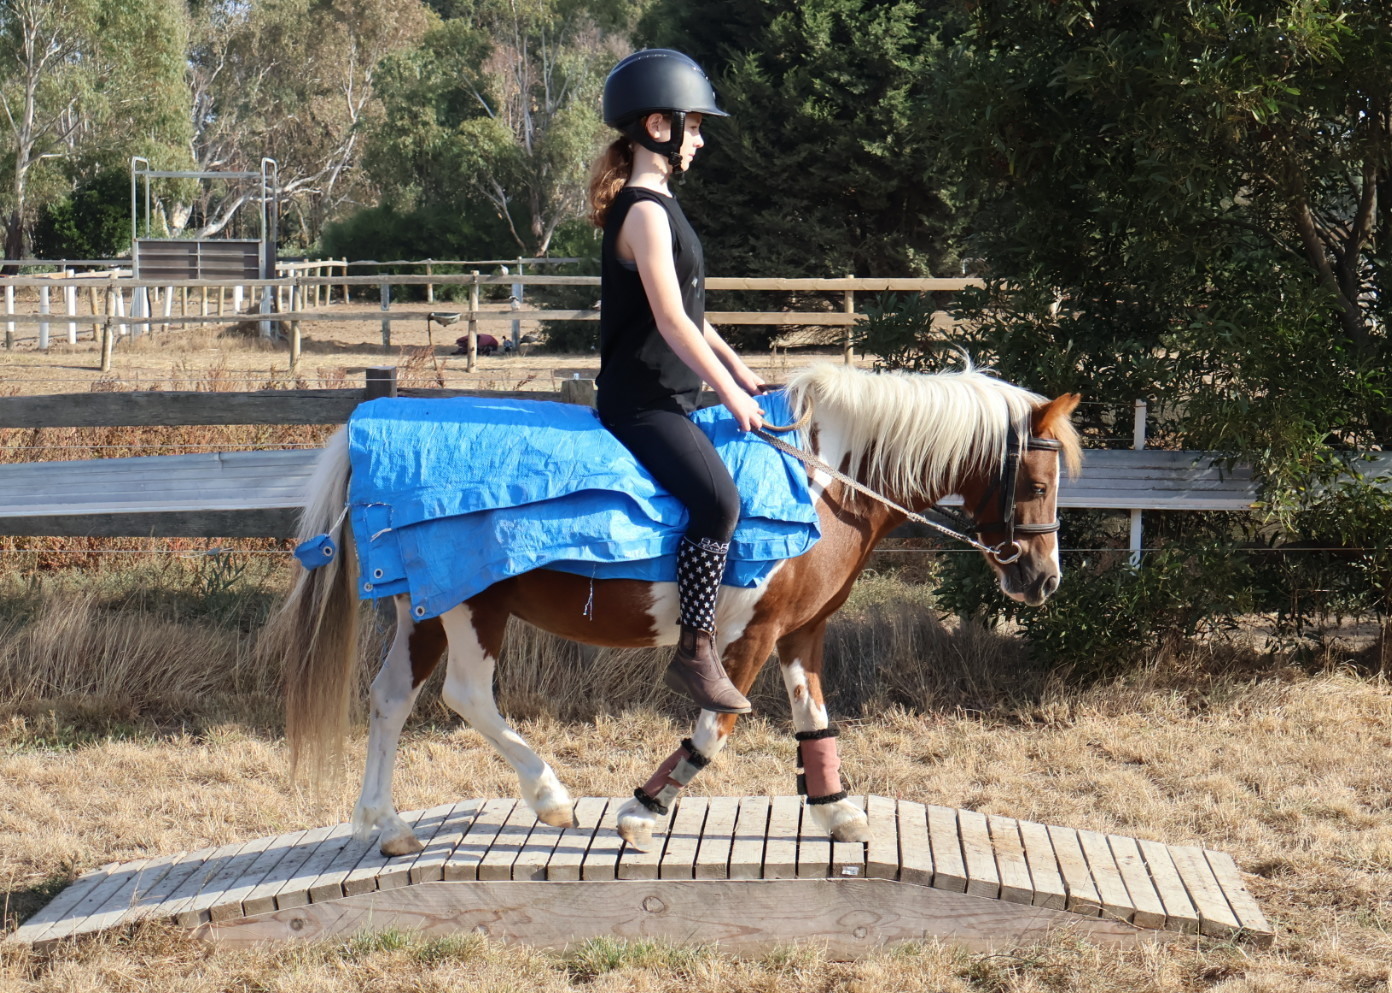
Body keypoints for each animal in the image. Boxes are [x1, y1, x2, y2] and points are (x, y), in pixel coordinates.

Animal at [262, 361, 1081, 856]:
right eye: (1039, 484)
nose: (1044, 580)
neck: (825, 479)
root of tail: (371, 427)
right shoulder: (748, 636)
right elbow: (715, 727)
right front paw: (642, 810)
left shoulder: (802, 632)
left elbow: (814, 720)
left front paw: (837, 809)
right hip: (469, 604)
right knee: (466, 695)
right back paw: (549, 796)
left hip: (423, 608)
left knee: (390, 698)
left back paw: (391, 825)